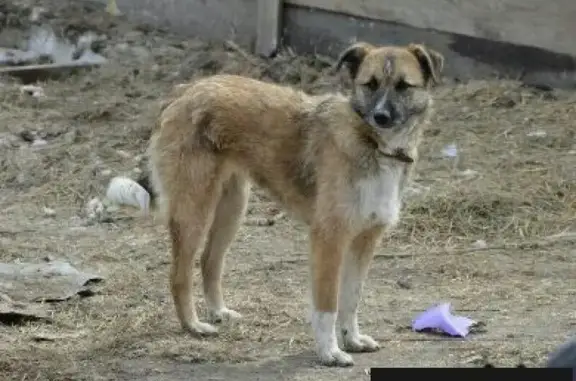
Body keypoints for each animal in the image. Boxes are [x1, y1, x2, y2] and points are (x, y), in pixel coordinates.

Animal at [140, 40, 446, 366]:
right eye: (370, 84)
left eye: (403, 86)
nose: (381, 116)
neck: (373, 144)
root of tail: (185, 90)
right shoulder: (329, 239)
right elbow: (328, 305)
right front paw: (329, 352)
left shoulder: (365, 240)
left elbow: (351, 299)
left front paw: (352, 339)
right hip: (194, 211)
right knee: (179, 275)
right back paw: (193, 325)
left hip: (233, 207)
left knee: (210, 260)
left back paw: (219, 312)